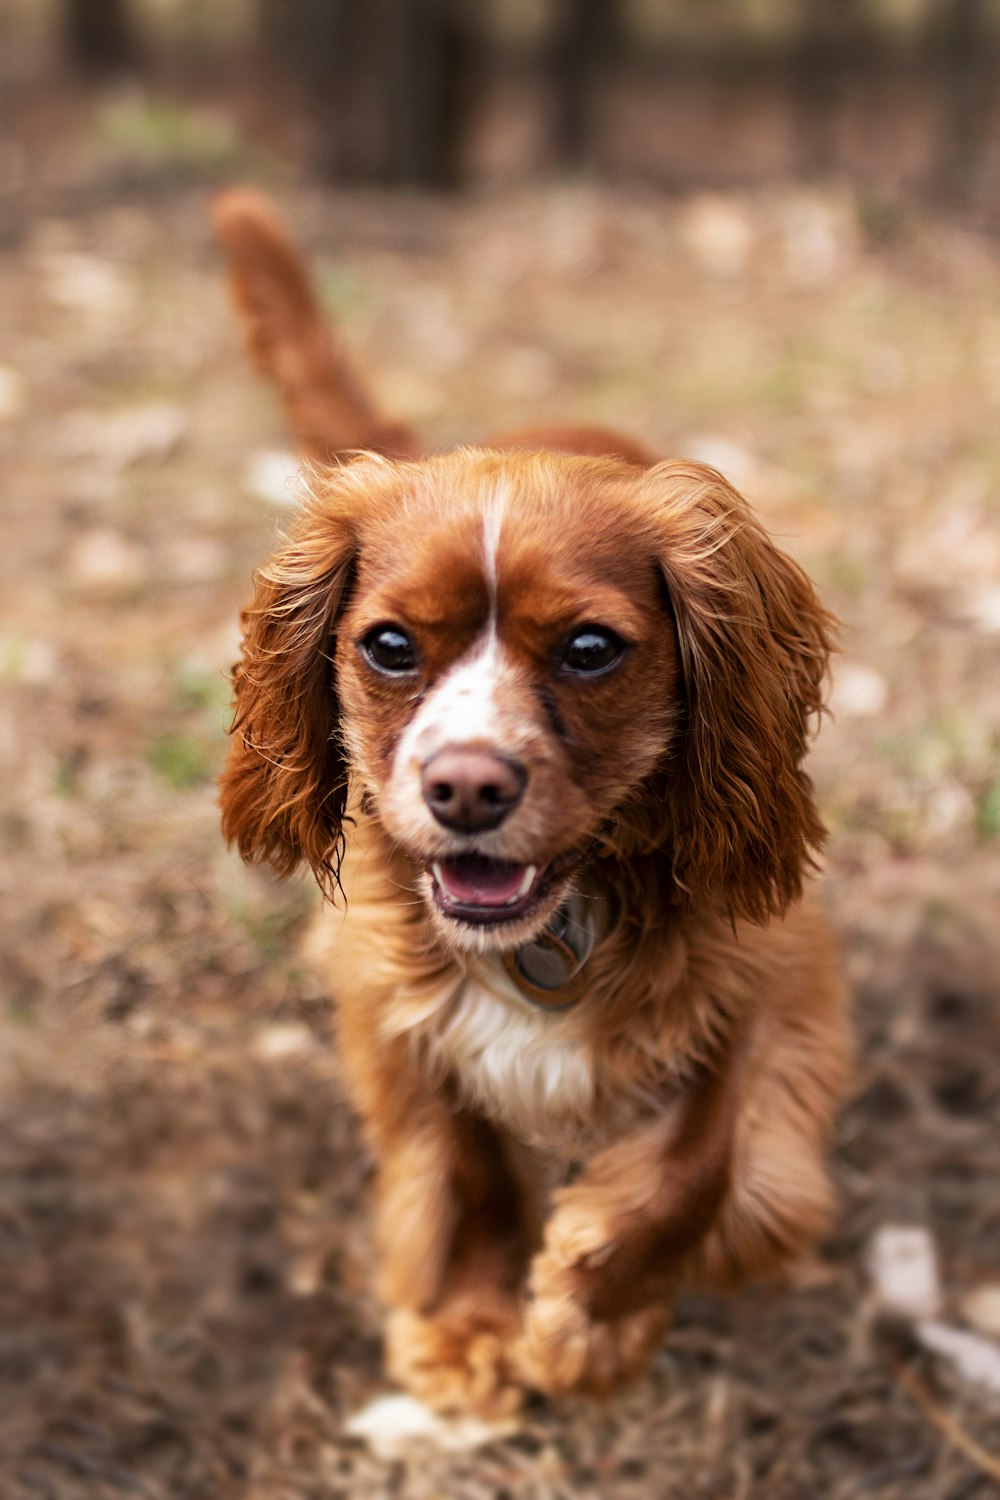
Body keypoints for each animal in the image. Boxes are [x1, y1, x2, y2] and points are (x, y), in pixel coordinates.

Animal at [215, 190, 851, 1416]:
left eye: (592, 649)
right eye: (390, 645)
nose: (466, 785)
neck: (558, 923)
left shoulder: (775, 973)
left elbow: (703, 1164)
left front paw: (587, 1318)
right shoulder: (396, 1002)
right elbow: (465, 1171)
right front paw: (471, 1326)